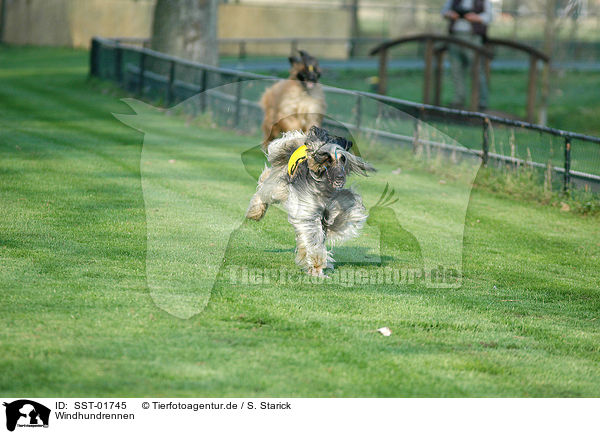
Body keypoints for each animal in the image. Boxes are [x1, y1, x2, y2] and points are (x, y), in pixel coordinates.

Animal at [246, 125, 372, 276]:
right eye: (328, 158)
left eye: (343, 159)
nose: (340, 177)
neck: (323, 188)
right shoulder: (307, 210)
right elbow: (313, 235)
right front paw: (316, 267)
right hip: (280, 184)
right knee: (265, 186)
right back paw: (255, 212)